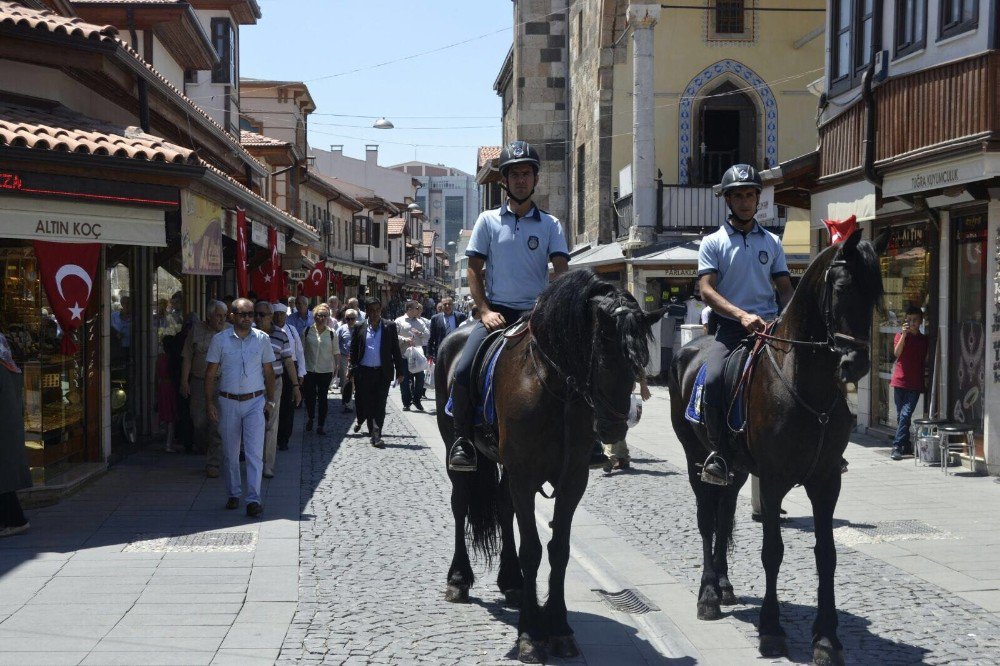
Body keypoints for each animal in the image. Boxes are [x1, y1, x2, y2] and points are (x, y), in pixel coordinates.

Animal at [436, 268, 664, 660]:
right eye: (603, 354)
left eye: (638, 360)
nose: (614, 427)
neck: (555, 388)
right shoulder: (525, 476)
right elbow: (532, 550)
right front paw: (530, 633)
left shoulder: (571, 480)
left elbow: (559, 549)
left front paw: (558, 628)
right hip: (459, 450)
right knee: (461, 503)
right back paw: (459, 579)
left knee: (503, 508)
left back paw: (511, 582)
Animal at [668, 230, 888, 664]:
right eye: (841, 288)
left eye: (875, 292)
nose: (856, 363)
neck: (805, 384)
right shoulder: (771, 481)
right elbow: (773, 550)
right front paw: (771, 630)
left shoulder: (826, 482)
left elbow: (827, 555)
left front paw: (827, 638)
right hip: (695, 459)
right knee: (706, 520)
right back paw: (708, 595)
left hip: (735, 470)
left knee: (724, 516)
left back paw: (724, 586)